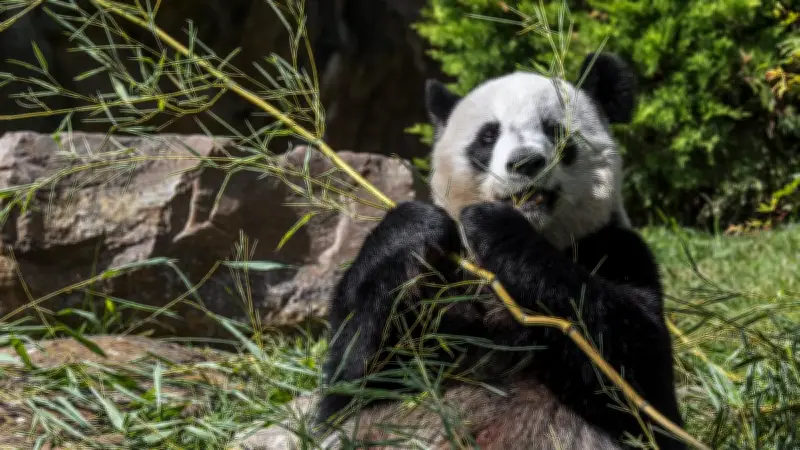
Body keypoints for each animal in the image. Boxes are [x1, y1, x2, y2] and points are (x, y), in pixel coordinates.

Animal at [235, 52, 686, 450]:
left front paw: (496, 227)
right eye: (488, 136)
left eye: (555, 131)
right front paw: (416, 224)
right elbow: (352, 382)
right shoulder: (441, 288)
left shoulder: (614, 248)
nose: (525, 163)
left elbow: (640, 374)